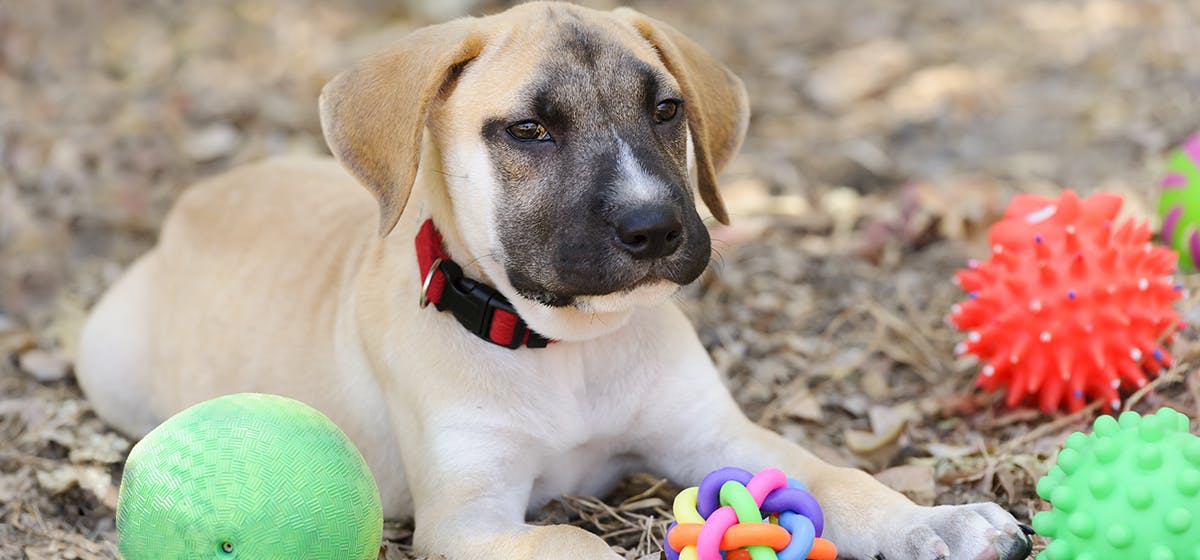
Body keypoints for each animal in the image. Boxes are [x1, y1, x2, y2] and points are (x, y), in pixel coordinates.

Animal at [75, 4, 1032, 560]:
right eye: (528, 130)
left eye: (666, 111)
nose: (655, 229)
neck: (564, 346)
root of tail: (195, 199)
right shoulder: (470, 523)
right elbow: (580, 544)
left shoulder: (717, 433)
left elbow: (833, 476)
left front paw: (934, 522)